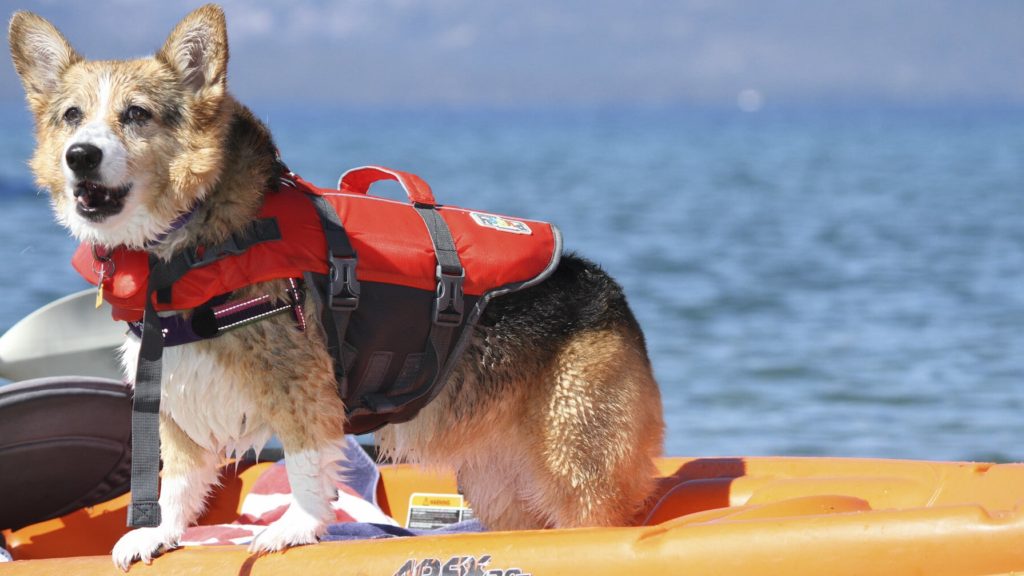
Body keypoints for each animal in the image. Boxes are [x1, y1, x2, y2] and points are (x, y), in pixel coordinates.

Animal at [8, 4, 663, 569]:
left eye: (137, 114)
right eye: (71, 116)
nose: (80, 157)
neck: (188, 236)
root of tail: (607, 290)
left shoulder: (301, 381)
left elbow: (303, 462)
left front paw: (295, 527)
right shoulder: (176, 386)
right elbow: (180, 479)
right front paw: (157, 534)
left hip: (575, 463)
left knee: (597, 514)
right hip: (496, 480)